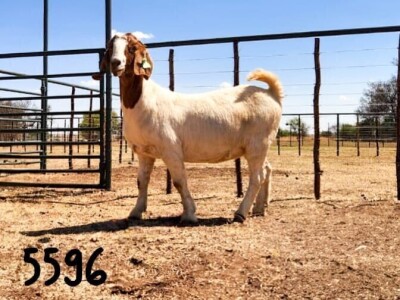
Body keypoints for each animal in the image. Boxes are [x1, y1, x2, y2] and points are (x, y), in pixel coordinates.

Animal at [92, 33, 282, 223]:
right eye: (110, 47)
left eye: (131, 48)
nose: (116, 63)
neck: (143, 101)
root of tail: (271, 94)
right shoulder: (144, 153)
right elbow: (142, 182)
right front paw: (136, 212)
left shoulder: (171, 150)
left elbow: (179, 181)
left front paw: (189, 215)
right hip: (260, 145)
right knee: (266, 169)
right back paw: (259, 208)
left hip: (257, 144)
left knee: (257, 177)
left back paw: (240, 213)